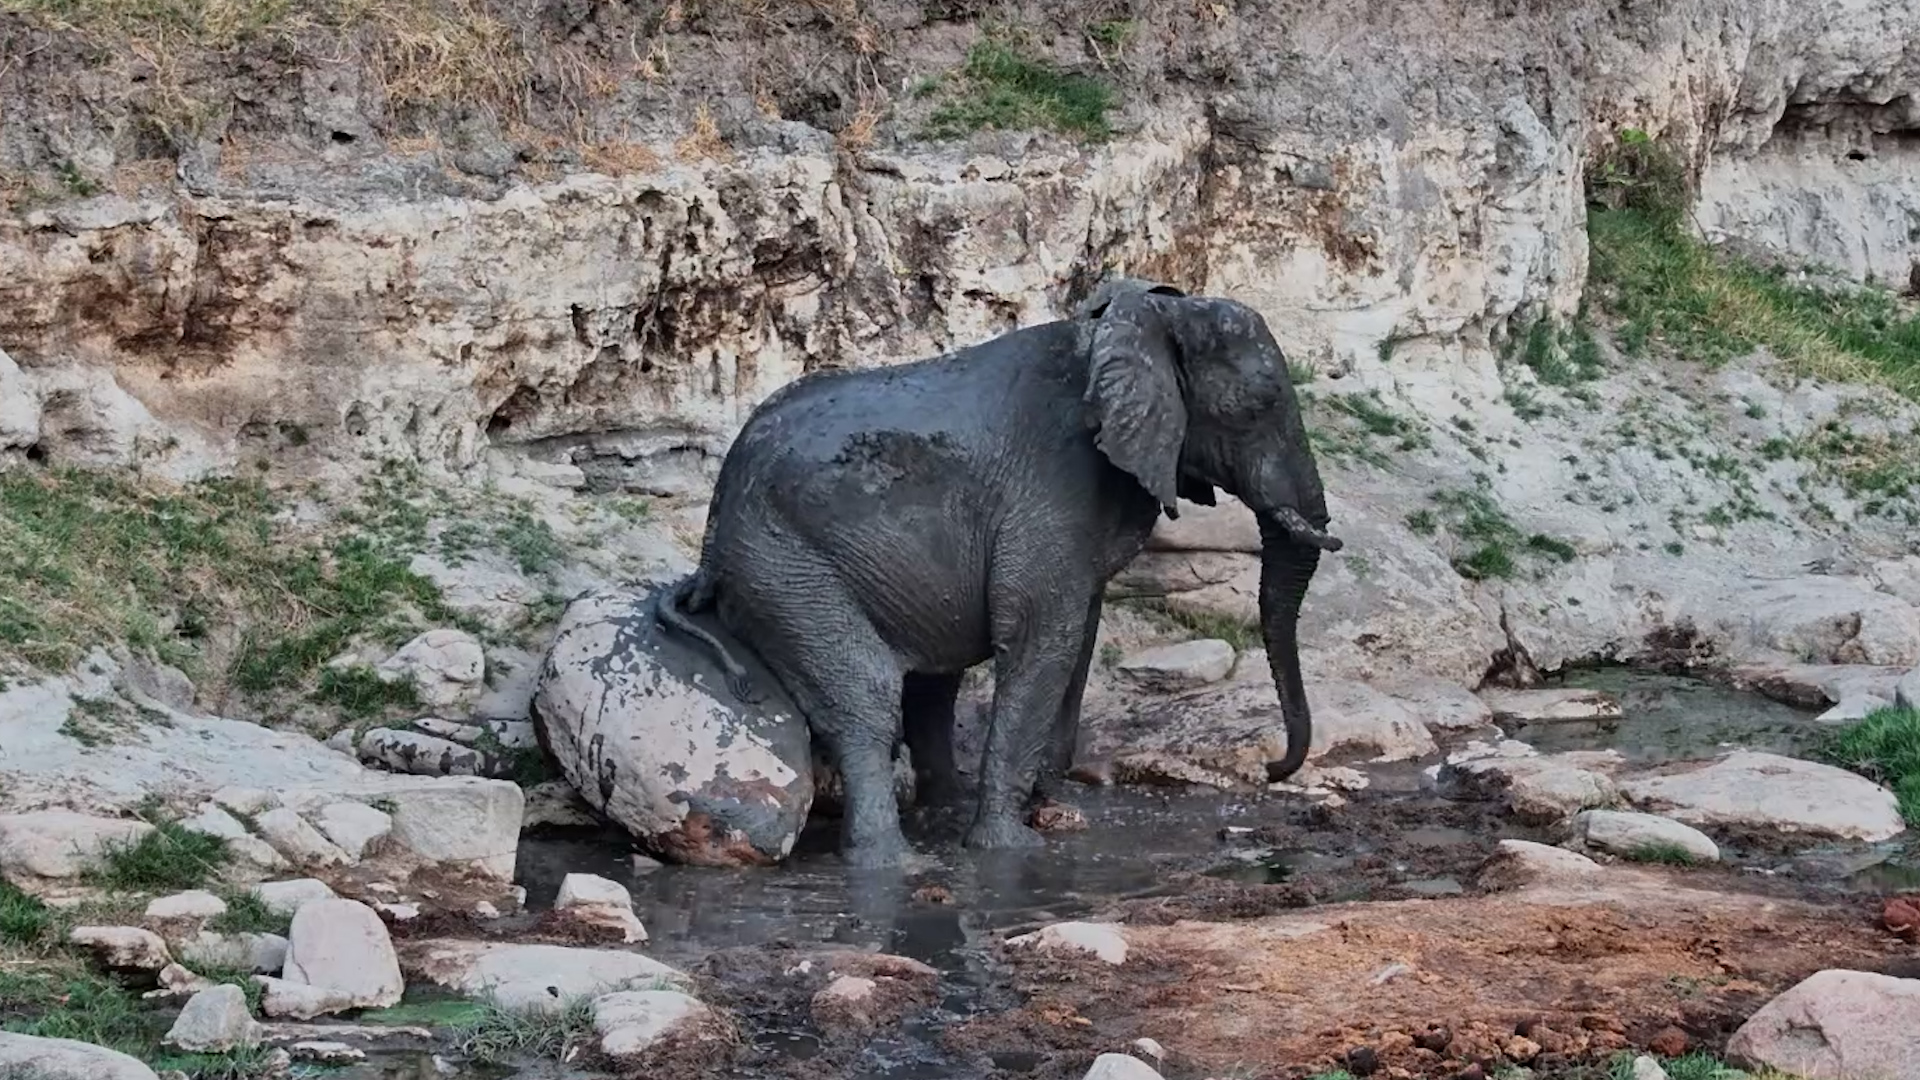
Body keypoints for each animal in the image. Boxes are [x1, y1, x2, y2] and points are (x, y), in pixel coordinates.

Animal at [656, 277, 1342, 867]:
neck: (1141, 319)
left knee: (929, 687)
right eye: (1262, 404)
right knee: (867, 700)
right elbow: (1044, 640)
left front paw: (1048, 809)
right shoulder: (1051, 490)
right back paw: (895, 864)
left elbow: (1077, 638)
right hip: (784, 566)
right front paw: (1012, 849)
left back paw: (941, 815)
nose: (1271, 770)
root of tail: (712, 538)